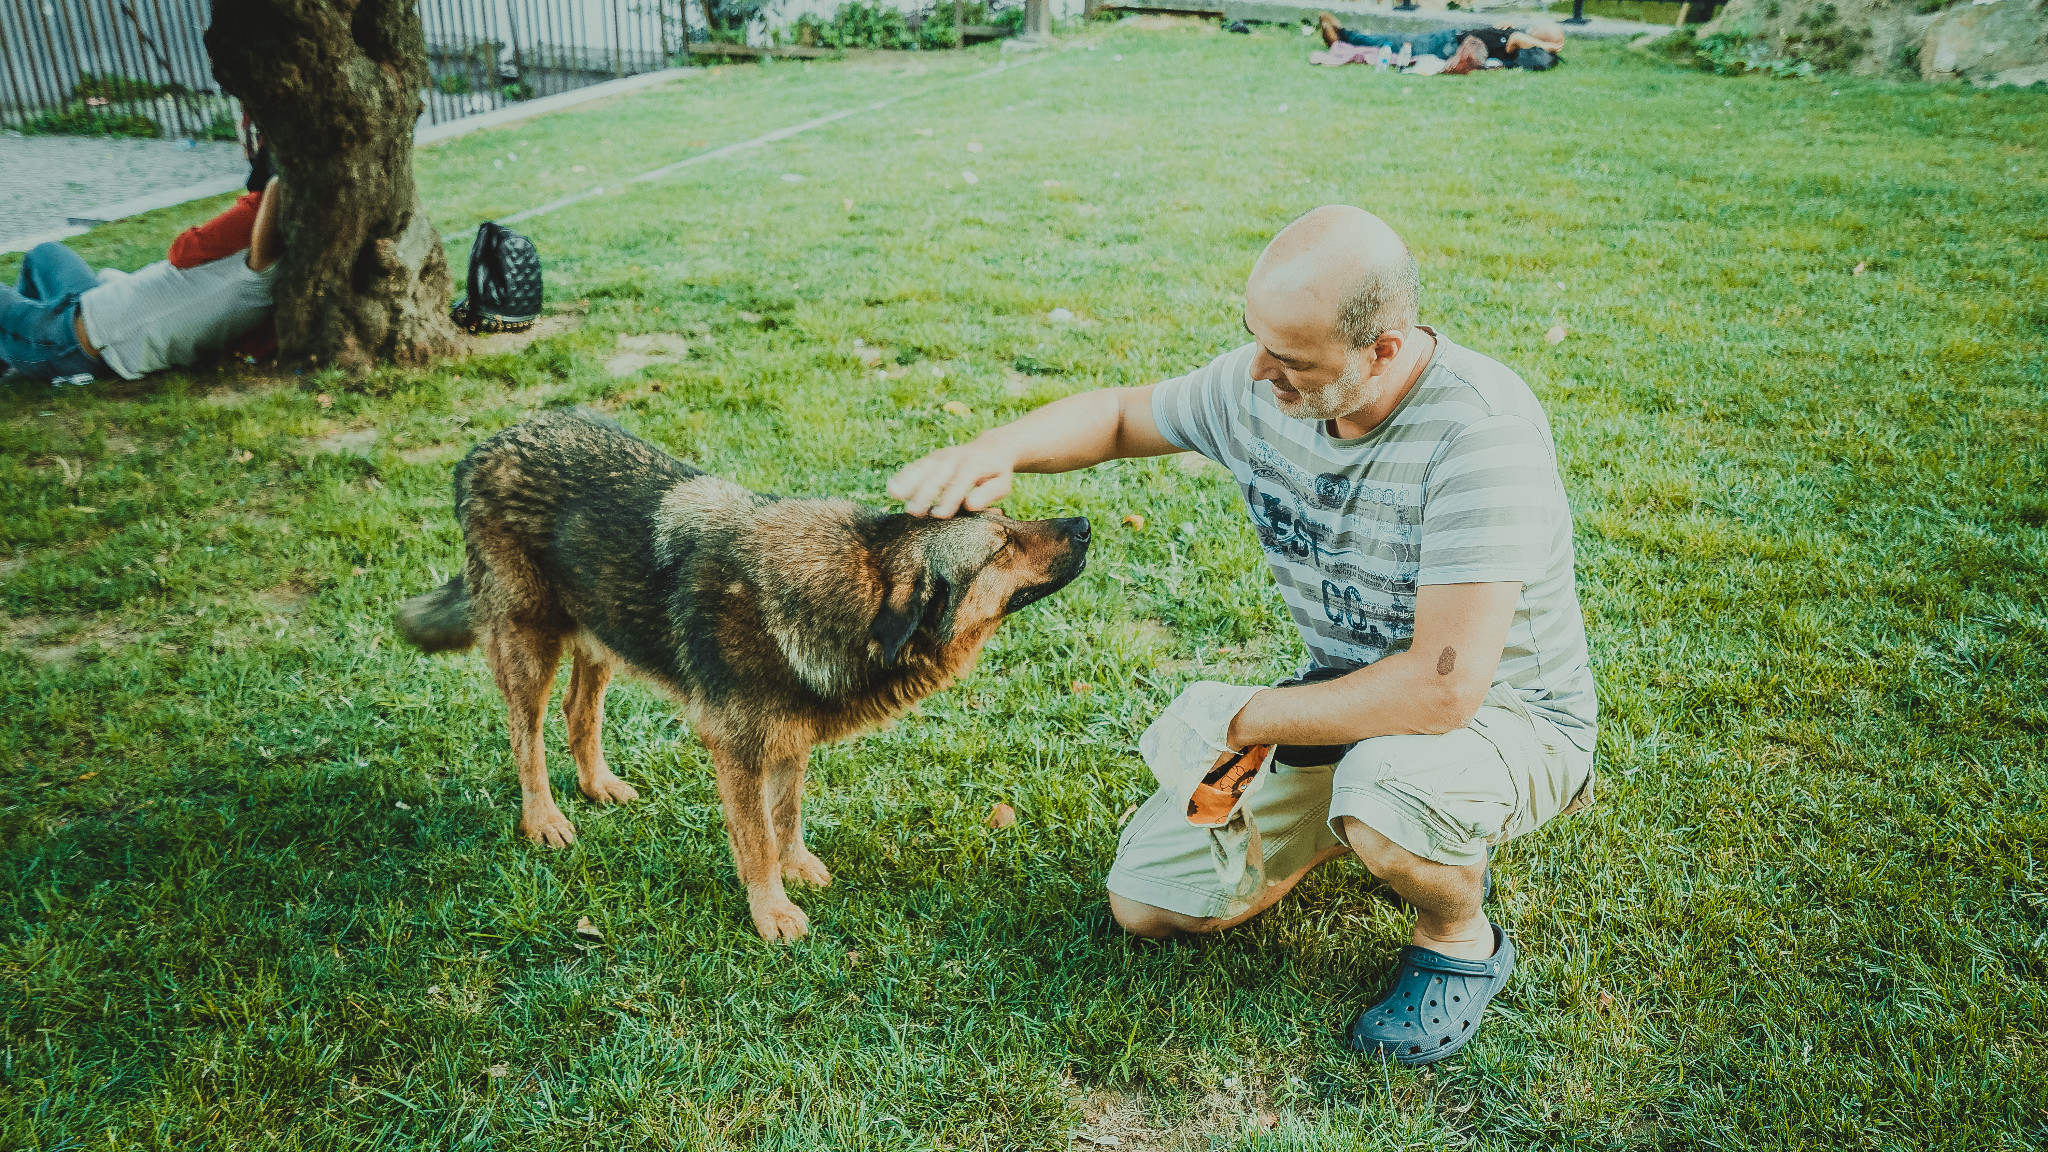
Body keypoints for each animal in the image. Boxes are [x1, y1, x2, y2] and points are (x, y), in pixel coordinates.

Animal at [401, 407, 1105, 938]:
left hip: (605, 633)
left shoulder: (790, 741)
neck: (835, 595)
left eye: (1006, 520)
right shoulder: (736, 750)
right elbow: (758, 837)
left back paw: (598, 785)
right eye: (1002, 546)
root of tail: (484, 447)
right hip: (528, 644)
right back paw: (544, 819)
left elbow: (786, 817)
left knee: (580, 712)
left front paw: (796, 869)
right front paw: (772, 912)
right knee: (527, 739)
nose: (1084, 524)